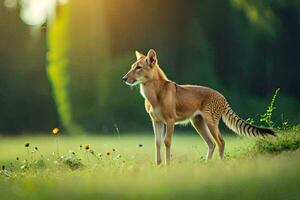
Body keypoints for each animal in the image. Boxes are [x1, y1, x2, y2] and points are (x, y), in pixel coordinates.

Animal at [121, 49, 274, 165]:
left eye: (138, 67)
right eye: (132, 66)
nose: (124, 78)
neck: (154, 92)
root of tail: (222, 95)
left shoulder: (170, 121)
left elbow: (167, 141)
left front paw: (168, 166)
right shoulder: (156, 121)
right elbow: (157, 142)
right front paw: (158, 165)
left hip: (211, 122)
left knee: (220, 141)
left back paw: (220, 165)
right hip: (198, 122)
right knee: (211, 143)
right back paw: (207, 165)